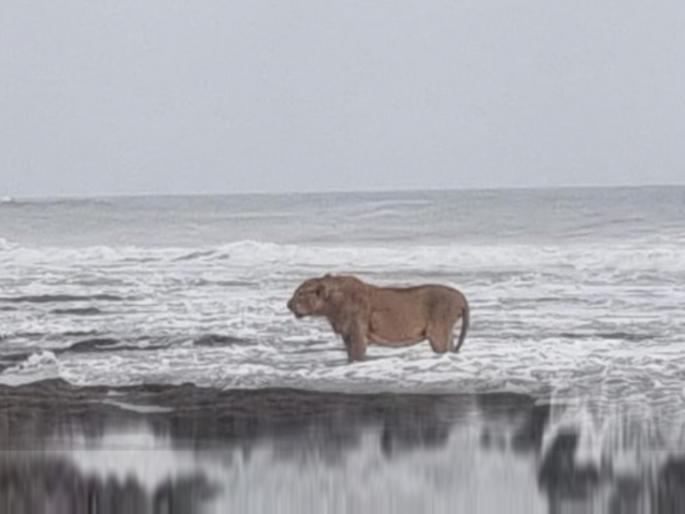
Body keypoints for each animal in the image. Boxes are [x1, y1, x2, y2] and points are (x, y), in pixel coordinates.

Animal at [287, 274, 469, 362]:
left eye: (300, 294)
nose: (288, 304)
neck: (331, 306)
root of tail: (460, 296)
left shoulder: (357, 333)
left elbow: (357, 356)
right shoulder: (347, 334)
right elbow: (350, 356)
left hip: (438, 333)